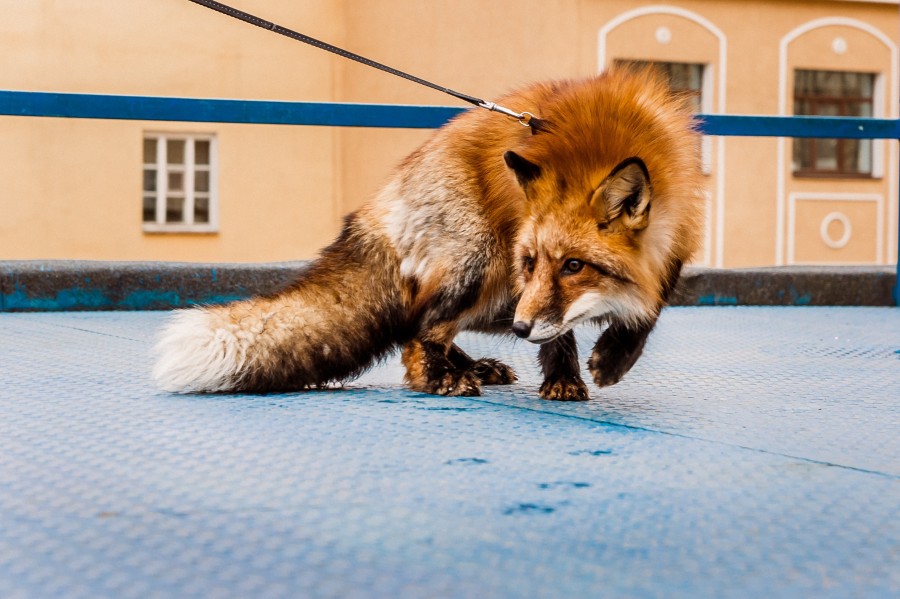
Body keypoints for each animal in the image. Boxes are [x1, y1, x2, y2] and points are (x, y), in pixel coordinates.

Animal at [153, 68, 704, 400]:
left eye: (574, 266)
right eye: (532, 262)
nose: (522, 331)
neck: (604, 142)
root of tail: (377, 204)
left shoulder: (676, 239)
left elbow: (651, 305)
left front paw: (610, 357)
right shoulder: (523, 280)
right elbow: (562, 332)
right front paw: (569, 373)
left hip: (496, 290)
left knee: (418, 321)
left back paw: (474, 365)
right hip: (483, 260)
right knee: (419, 330)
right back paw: (443, 377)